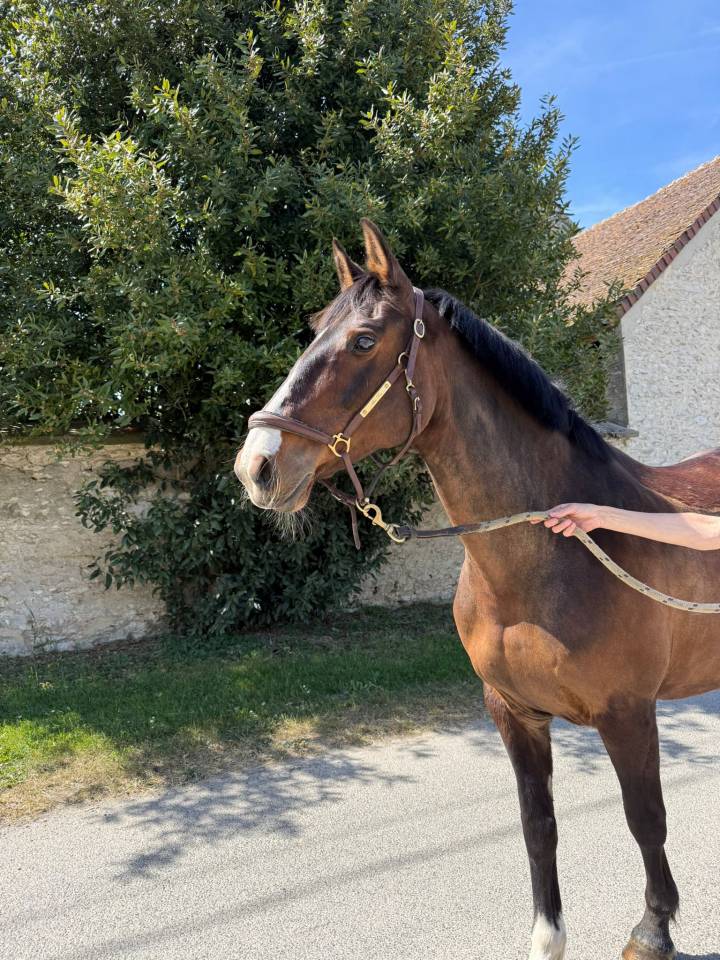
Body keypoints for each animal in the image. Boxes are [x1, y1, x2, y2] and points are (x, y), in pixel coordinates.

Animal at [235, 218, 720, 960]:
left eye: (365, 339)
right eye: (314, 328)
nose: (257, 466)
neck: (545, 560)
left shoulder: (628, 713)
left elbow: (646, 820)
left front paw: (653, 928)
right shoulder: (511, 712)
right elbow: (537, 826)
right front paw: (548, 936)